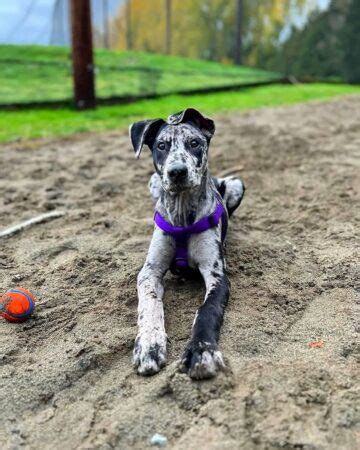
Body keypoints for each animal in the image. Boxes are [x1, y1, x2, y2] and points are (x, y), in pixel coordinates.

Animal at [129, 109, 245, 380]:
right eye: (161, 145)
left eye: (194, 143)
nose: (177, 172)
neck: (182, 214)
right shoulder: (149, 272)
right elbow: (149, 303)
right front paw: (149, 345)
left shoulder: (217, 275)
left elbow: (206, 311)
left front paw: (201, 351)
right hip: (153, 181)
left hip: (236, 183)